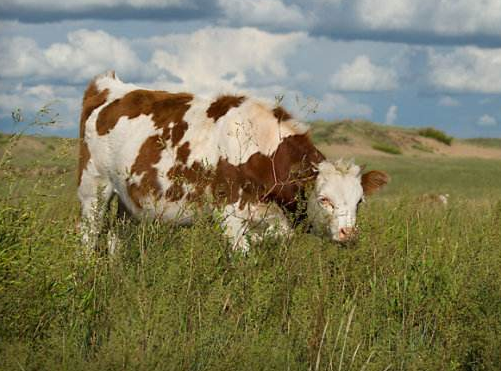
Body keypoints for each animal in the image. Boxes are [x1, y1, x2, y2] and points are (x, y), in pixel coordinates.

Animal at [78, 72, 388, 253]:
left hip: (128, 197)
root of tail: (109, 85)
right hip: (94, 186)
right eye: (324, 199)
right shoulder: (229, 215)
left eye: (359, 200)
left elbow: (276, 236)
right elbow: (244, 250)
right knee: (88, 234)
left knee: (116, 236)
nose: (348, 233)